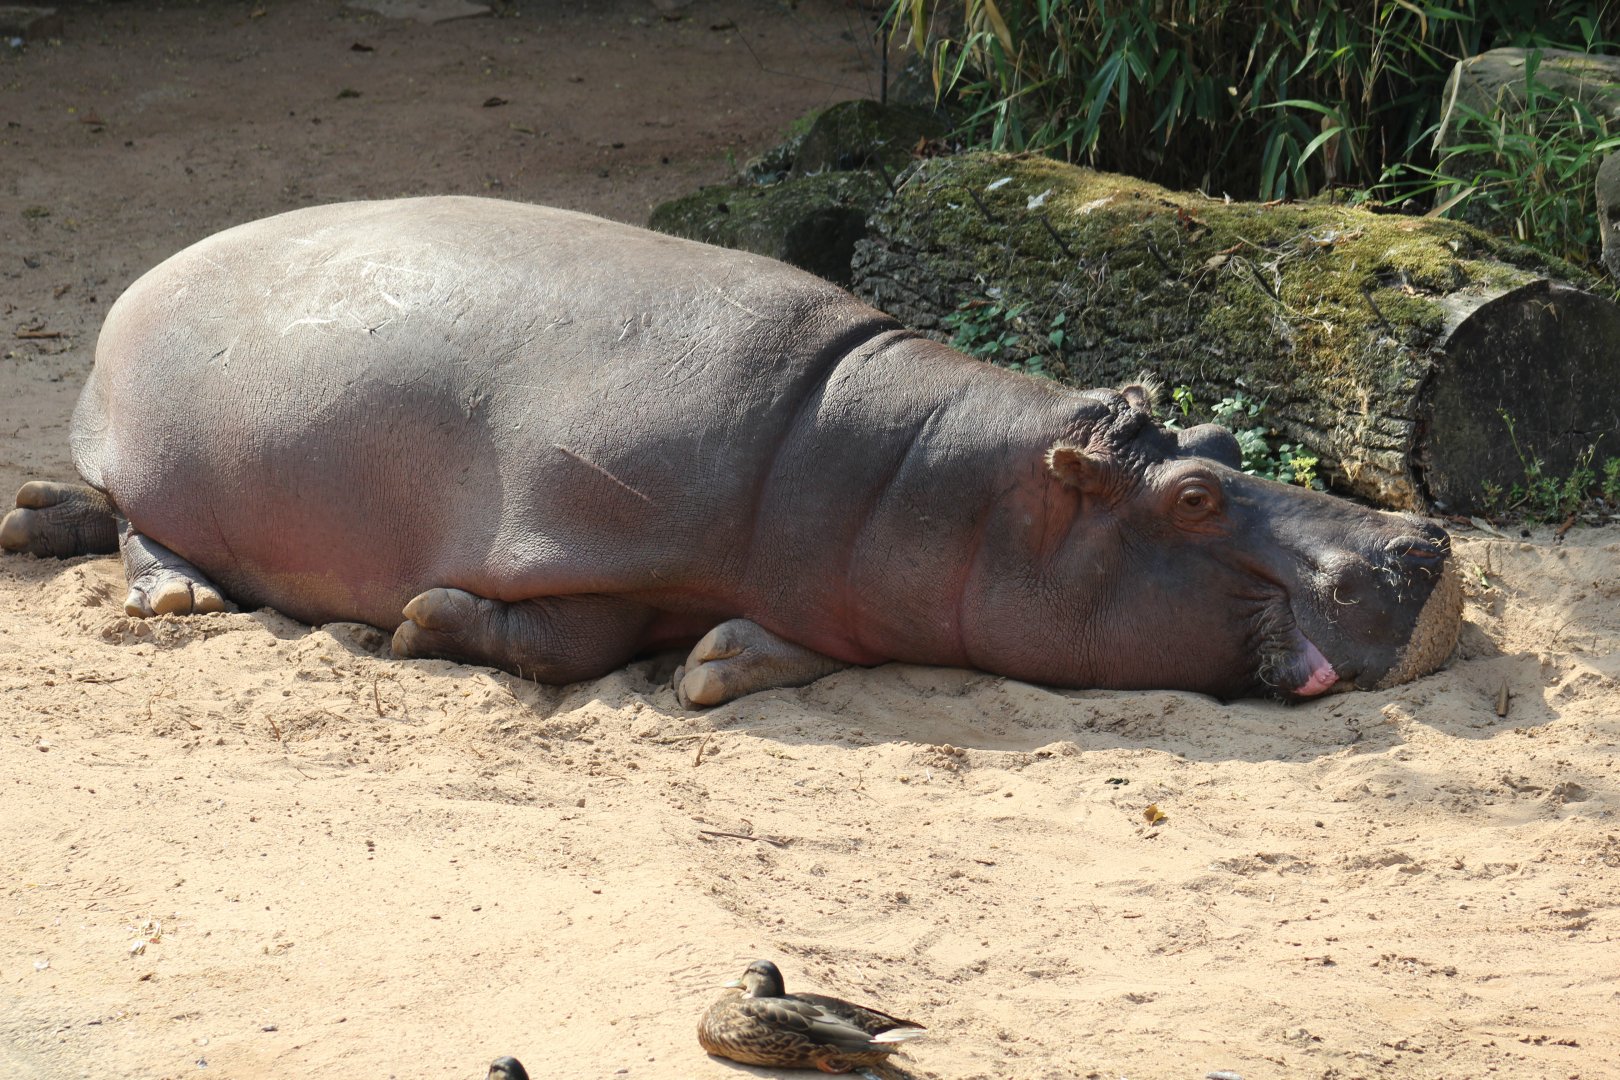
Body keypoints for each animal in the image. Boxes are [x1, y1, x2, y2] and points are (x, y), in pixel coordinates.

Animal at [1, 197, 1462, 706]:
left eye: (1217, 433)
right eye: (1199, 495)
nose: (1421, 543)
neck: (915, 476)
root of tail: (139, 288)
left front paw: (718, 662)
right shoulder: (580, 526)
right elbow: (566, 640)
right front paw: (420, 623)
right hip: (160, 459)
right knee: (137, 522)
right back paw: (176, 599)